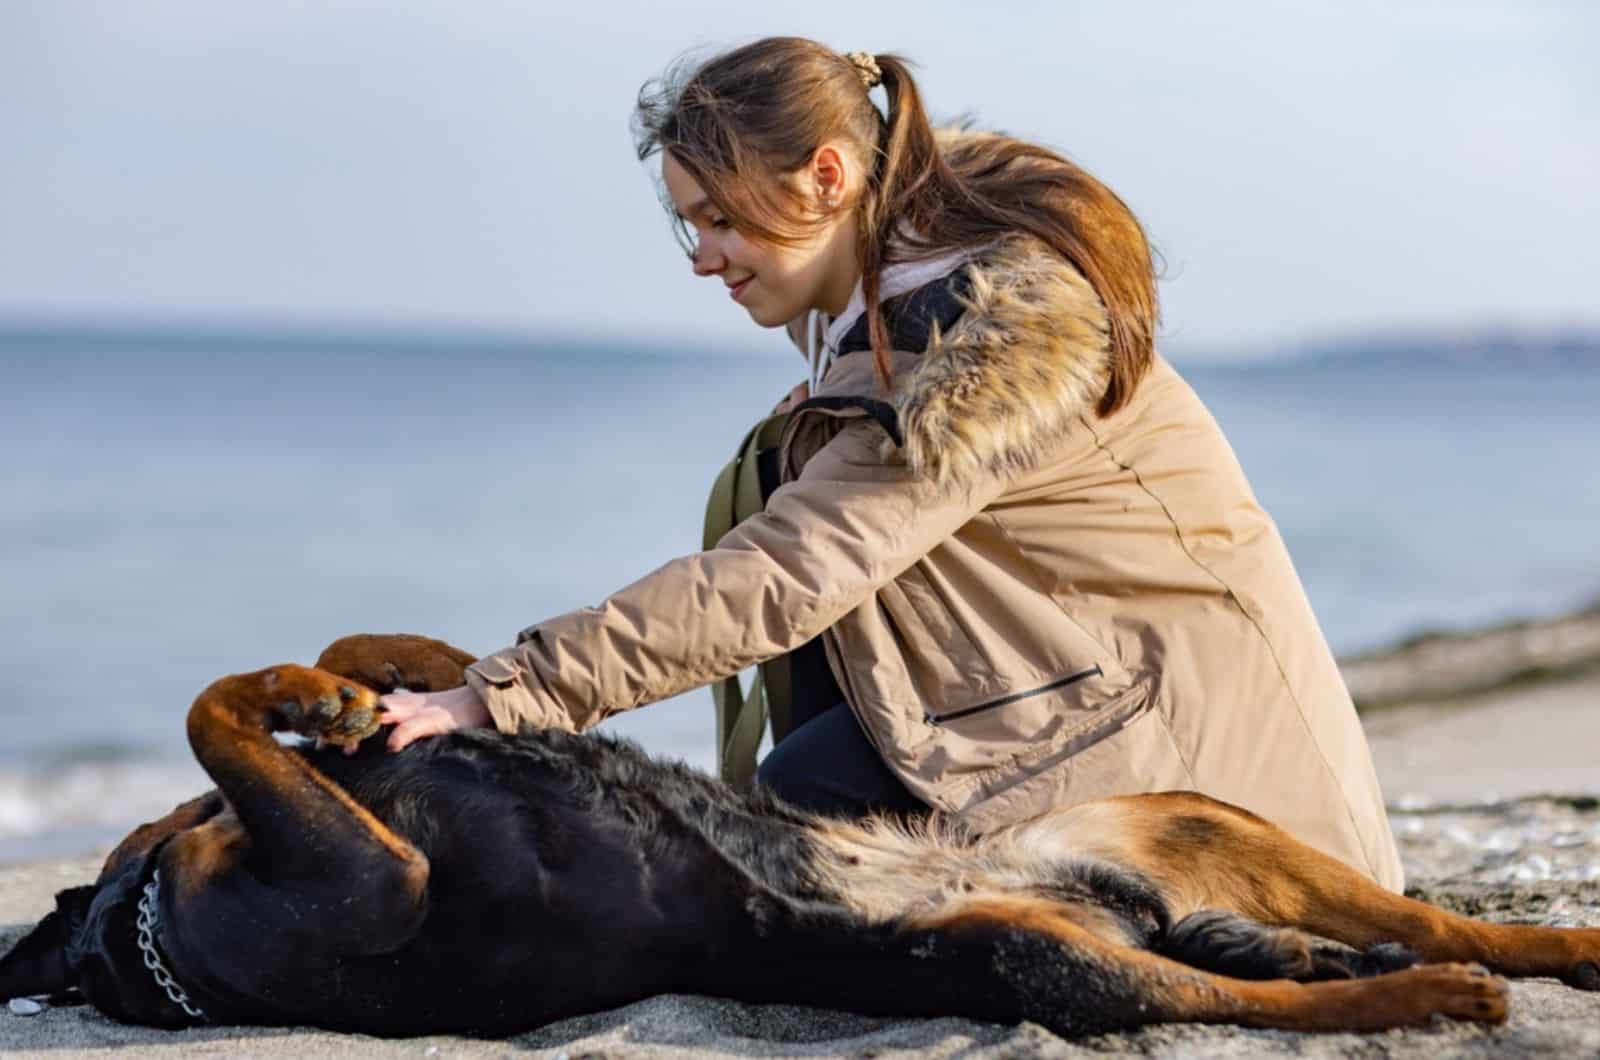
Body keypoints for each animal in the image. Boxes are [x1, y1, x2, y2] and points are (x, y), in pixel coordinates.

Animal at [3, 634, 1600, 1043]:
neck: (143, 935)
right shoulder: (375, 872)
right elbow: (206, 714)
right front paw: (303, 701)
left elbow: (368, 666)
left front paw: (340, 688)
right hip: (1037, 953)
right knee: (1280, 992)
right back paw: (1435, 995)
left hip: (1173, 818)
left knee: (1417, 919)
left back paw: (1552, 941)